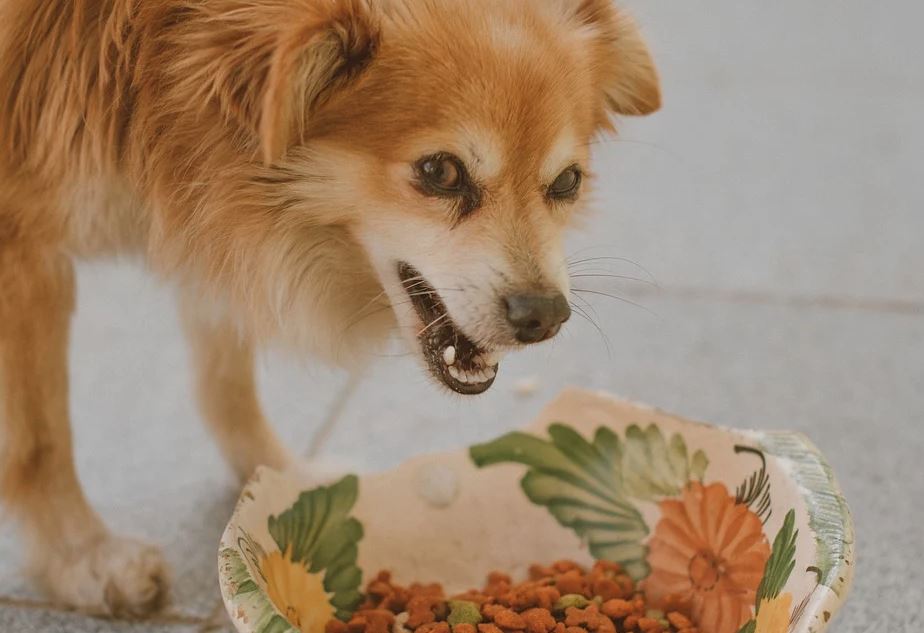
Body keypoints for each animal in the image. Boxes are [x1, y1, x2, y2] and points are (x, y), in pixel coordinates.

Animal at [0, 0, 660, 616]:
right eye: (441, 171)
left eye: (567, 183)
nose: (545, 314)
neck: (150, 55)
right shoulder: (21, 248)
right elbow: (39, 438)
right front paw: (83, 559)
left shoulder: (207, 216)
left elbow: (225, 375)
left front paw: (275, 481)